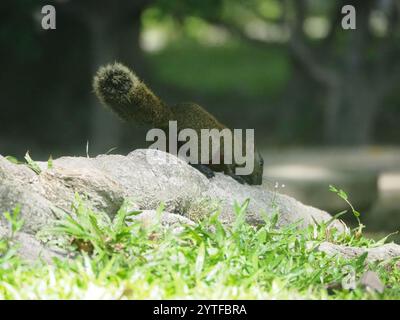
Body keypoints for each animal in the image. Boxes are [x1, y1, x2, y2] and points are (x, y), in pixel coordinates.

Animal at [92, 62, 264, 185]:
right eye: (261, 163)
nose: (259, 183)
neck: (240, 148)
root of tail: (170, 116)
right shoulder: (225, 152)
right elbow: (228, 169)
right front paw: (237, 177)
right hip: (196, 142)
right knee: (190, 157)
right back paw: (204, 169)